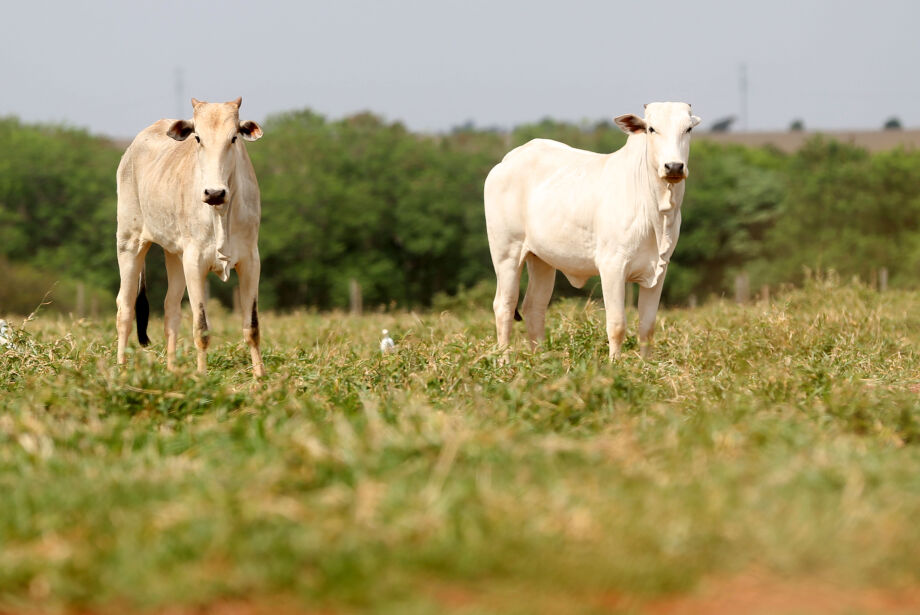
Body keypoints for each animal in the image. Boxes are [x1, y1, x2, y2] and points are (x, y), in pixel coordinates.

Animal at [115, 97, 266, 378]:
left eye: (233, 138)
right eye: (198, 138)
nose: (215, 193)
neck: (220, 212)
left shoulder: (251, 261)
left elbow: (251, 327)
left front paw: (261, 379)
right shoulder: (195, 262)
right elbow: (201, 328)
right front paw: (202, 377)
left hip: (175, 256)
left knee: (170, 309)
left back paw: (172, 369)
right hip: (129, 243)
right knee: (125, 308)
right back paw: (120, 370)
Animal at [486, 103, 700, 358]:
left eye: (688, 129)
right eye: (651, 128)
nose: (674, 166)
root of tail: (509, 159)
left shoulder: (659, 269)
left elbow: (647, 328)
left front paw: (645, 365)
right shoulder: (612, 266)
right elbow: (617, 325)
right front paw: (615, 364)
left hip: (541, 259)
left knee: (534, 306)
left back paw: (542, 360)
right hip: (506, 253)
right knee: (505, 306)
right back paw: (504, 361)